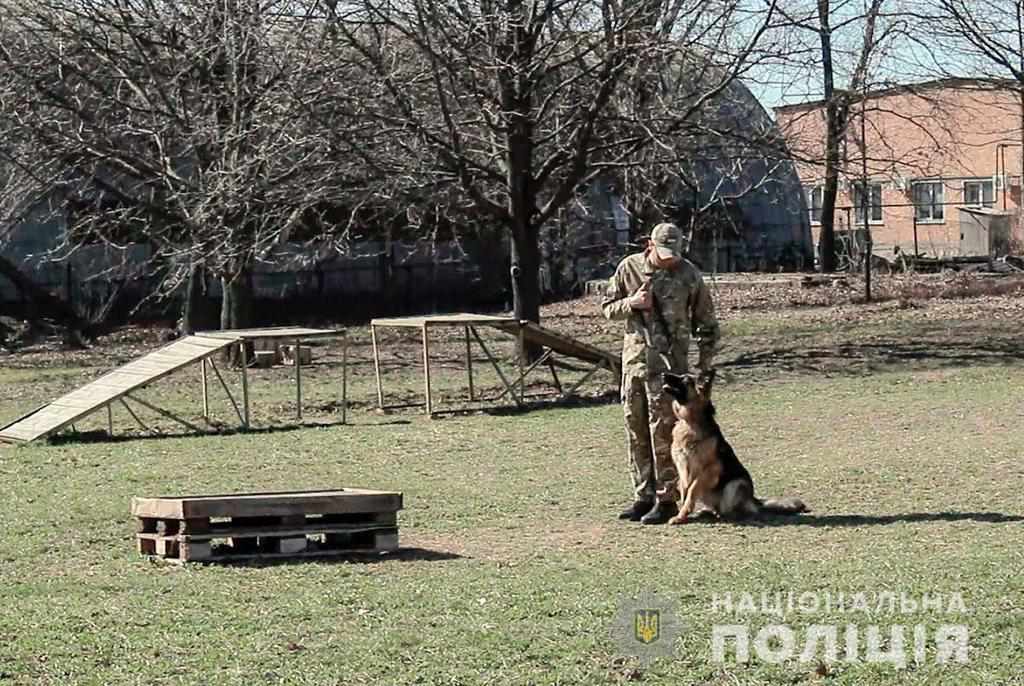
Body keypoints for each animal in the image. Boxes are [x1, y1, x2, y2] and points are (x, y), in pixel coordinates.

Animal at [663, 370, 806, 528]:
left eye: (686, 379)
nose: (663, 374)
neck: (689, 422)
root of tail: (753, 500)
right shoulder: (681, 469)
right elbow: (685, 492)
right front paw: (681, 514)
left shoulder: (710, 469)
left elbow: (691, 491)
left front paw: (681, 515)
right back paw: (707, 512)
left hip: (736, 483)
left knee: (734, 510)